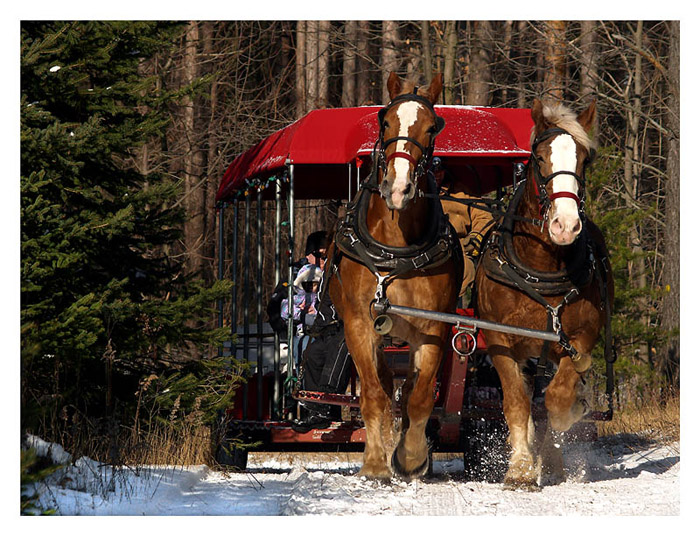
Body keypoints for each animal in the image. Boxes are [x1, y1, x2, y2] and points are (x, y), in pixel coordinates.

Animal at [328, 73, 460, 480]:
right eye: (384, 122)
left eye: (432, 127)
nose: (399, 188)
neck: (395, 248)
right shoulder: (359, 323)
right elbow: (374, 394)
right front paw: (375, 461)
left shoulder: (434, 328)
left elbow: (419, 397)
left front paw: (411, 457)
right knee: (384, 385)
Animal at [476, 97, 612, 490]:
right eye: (538, 158)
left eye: (584, 159)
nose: (565, 225)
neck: (541, 267)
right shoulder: (500, 339)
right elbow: (517, 402)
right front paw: (520, 467)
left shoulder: (579, 337)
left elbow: (557, 398)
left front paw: (562, 430)